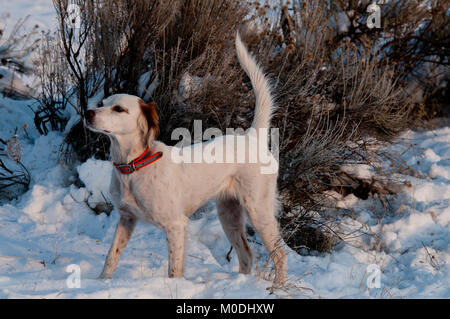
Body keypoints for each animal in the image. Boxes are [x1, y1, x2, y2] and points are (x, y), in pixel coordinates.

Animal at [86, 33, 286, 284]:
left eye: (119, 109)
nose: (88, 113)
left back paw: (278, 287)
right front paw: (101, 282)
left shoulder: (176, 225)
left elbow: (174, 270)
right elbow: (111, 256)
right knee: (247, 256)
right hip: (228, 213)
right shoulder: (126, 218)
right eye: (102, 104)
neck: (134, 167)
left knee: (280, 254)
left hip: (258, 209)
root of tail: (252, 137)